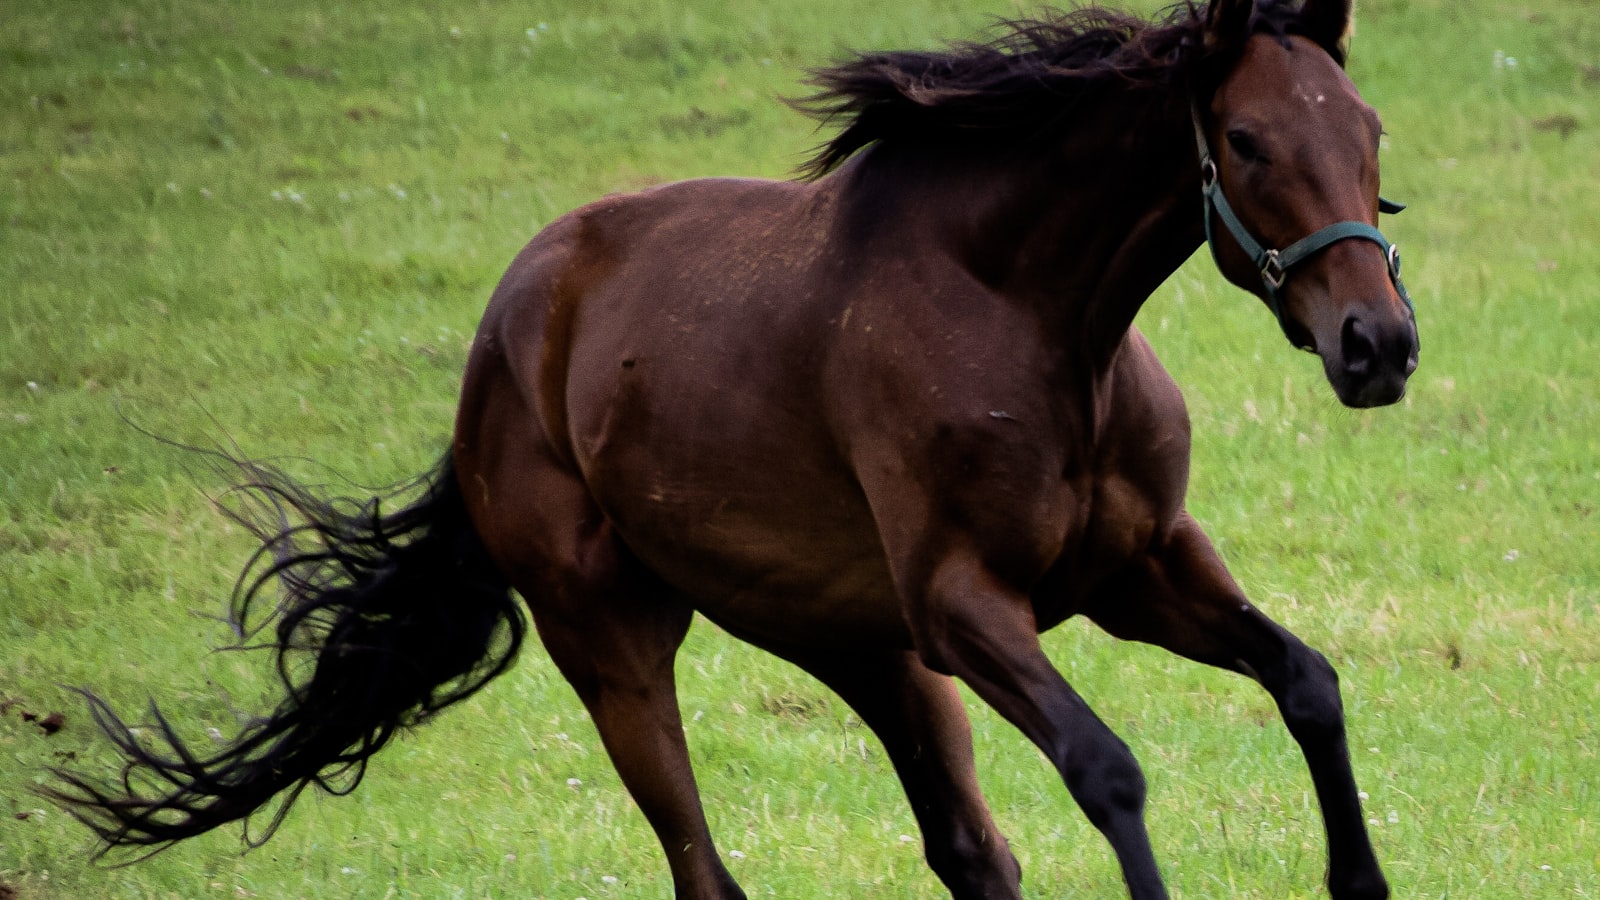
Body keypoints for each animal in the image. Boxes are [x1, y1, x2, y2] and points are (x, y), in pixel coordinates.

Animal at [48, 0, 1418, 897]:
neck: (1034, 319)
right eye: (1245, 141)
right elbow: (1107, 768)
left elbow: (1308, 683)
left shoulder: (1140, 571)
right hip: (616, 648)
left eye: (1368, 128)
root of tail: (501, 340)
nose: (1378, 346)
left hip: (862, 648)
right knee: (705, 870)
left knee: (969, 853)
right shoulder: (966, 605)